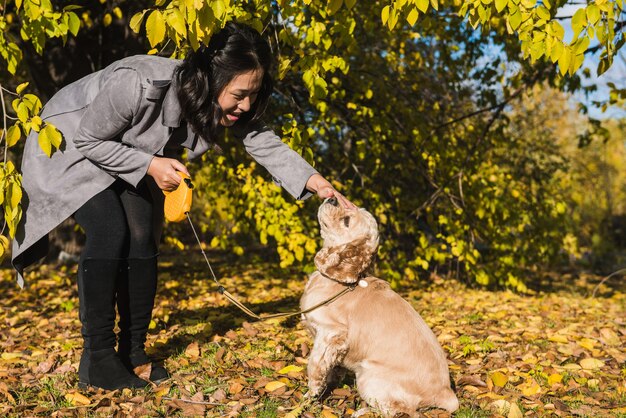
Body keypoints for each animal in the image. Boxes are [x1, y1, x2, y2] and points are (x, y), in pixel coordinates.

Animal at [300, 198, 456, 414]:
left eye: (346, 220)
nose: (332, 198)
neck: (339, 281)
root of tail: (446, 393)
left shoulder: (331, 334)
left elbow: (314, 366)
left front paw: (309, 396)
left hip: (368, 376)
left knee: (398, 410)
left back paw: (361, 412)